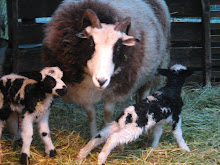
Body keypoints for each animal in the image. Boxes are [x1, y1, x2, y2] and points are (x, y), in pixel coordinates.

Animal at [41, 0, 171, 137]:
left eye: (118, 47)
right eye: (91, 43)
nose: (101, 81)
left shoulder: (114, 90)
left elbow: (107, 113)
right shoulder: (83, 91)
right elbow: (91, 114)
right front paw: (94, 134)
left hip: (153, 69)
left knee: (144, 92)